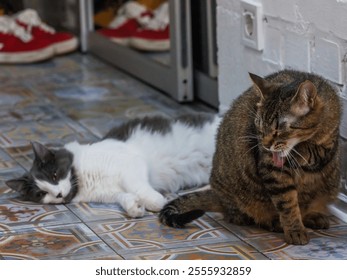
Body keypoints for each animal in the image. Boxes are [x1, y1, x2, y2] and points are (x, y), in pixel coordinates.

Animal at [6, 113, 220, 217]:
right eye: (42, 193)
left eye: (55, 175)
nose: (58, 194)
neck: (83, 179)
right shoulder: (111, 193)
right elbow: (124, 197)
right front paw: (135, 207)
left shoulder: (132, 165)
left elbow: (139, 188)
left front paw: (156, 202)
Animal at [160, 70, 342, 245]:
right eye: (259, 126)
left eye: (278, 130)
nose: (265, 145)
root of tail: (217, 194)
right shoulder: (272, 170)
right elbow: (287, 204)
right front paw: (295, 230)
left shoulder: (329, 147)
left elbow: (315, 153)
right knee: (240, 215)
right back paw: (273, 222)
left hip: (331, 183)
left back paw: (312, 216)